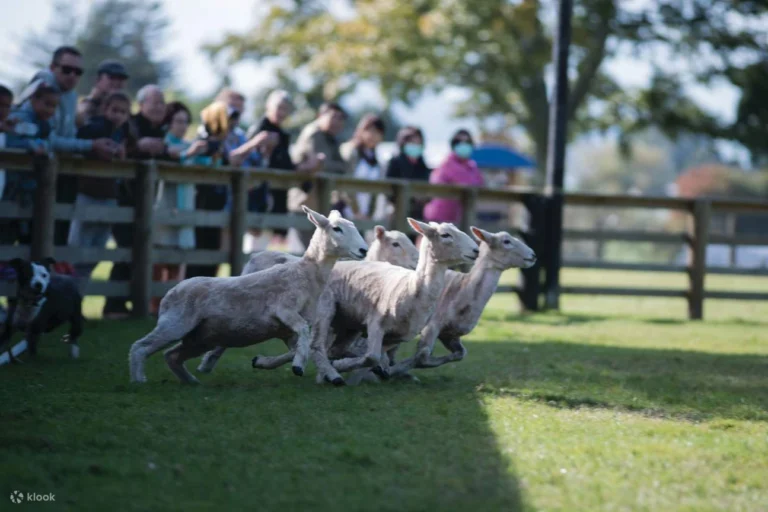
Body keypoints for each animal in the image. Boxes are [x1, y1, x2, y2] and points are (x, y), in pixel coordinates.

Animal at [127, 205, 368, 384]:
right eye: (337, 228)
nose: (364, 250)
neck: (304, 273)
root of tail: (169, 294)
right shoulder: (284, 310)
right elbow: (304, 334)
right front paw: (299, 366)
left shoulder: (287, 330)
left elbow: (308, 346)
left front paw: (324, 371)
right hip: (175, 323)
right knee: (140, 347)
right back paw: (139, 380)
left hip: (199, 337)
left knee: (172, 356)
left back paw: (191, 381)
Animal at [304, 219, 474, 384]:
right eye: (446, 235)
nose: (476, 250)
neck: (412, 288)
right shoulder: (375, 323)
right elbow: (372, 357)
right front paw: (343, 366)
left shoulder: (396, 337)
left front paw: (386, 370)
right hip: (325, 307)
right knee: (317, 346)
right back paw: (333, 375)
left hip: (349, 324)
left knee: (334, 349)